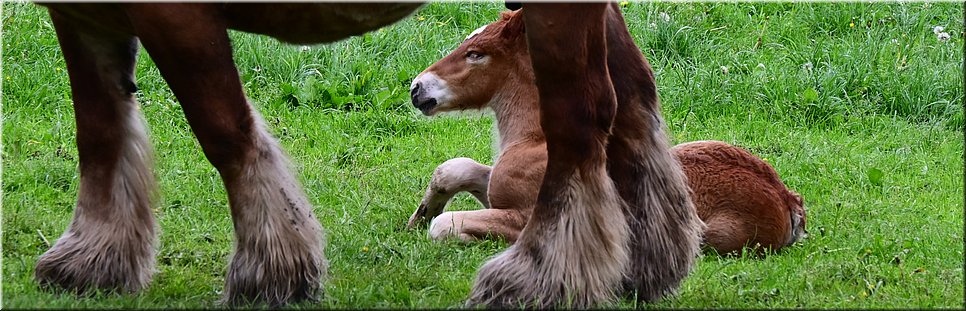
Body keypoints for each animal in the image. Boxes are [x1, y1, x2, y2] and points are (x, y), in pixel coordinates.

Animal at [408, 11, 808, 258]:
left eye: (476, 54)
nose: (416, 87)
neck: (533, 140)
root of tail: (787, 200)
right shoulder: (497, 190)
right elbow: (453, 169)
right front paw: (420, 214)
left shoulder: (529, 215)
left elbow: (447, 225)